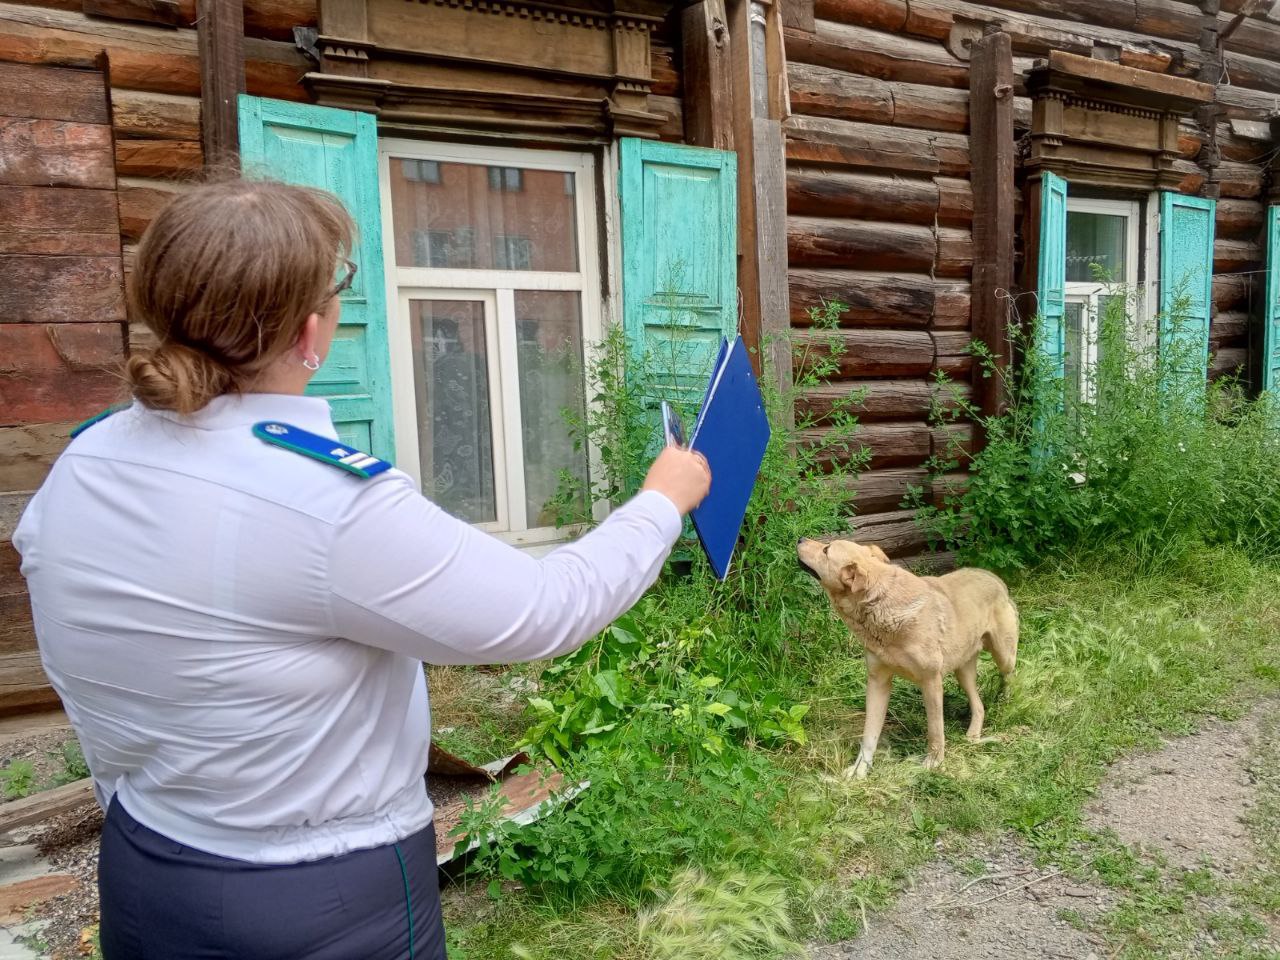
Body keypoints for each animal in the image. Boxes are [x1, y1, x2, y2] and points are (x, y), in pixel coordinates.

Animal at [798, 537, 1018, 778]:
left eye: (826, 550)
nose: (800, 539)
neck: (883, 606)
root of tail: (992, 576)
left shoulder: (931, 682)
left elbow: (935, 731)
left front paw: (934, 764)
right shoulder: (878, 681)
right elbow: (869, 735)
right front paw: (859, 771)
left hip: (1004, 656)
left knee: (1008, 678)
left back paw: (1005, 702)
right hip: (963, 670)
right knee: (978, 705)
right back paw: (973, 735)